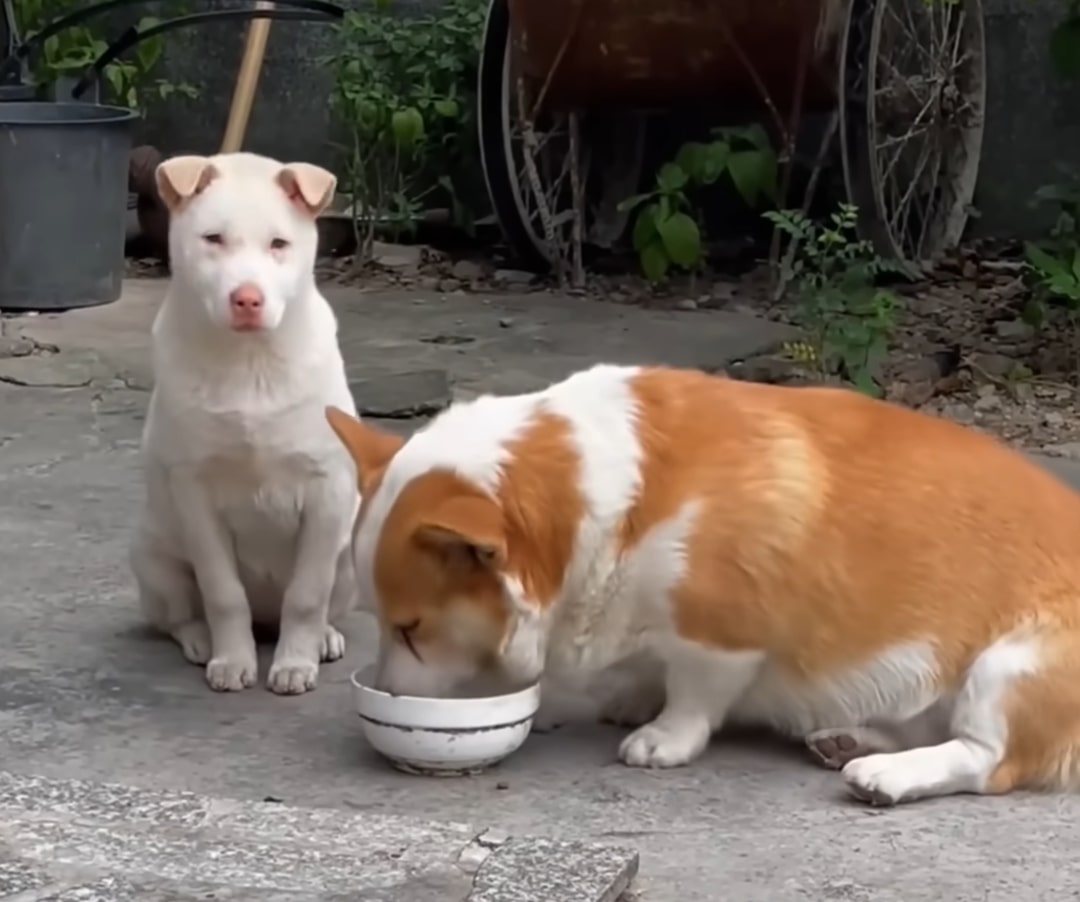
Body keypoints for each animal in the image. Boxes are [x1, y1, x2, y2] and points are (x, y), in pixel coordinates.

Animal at [130, 151, 358, 695]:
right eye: (212, 239)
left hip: (349, 561)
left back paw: (323, 638)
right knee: (177, 616)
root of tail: (265, 620)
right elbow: (222, 592)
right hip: (152, 557)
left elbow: (307, 595)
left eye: (279, 244)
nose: (248, 300)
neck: (250, 360)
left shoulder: (328, 489)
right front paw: (233, 660)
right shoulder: (195, 493)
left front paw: (295, 663)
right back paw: (199, 640)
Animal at [324, 362, 1080, 808]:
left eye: (411, 628)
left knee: (988, 760)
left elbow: (693, 694)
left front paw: (661, 739)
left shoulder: (719, 634)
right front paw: (634, 698)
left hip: (1012, 666)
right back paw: (852, 741)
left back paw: (887, 775)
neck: (607, 501)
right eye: (377, 619)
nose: (385, 700)